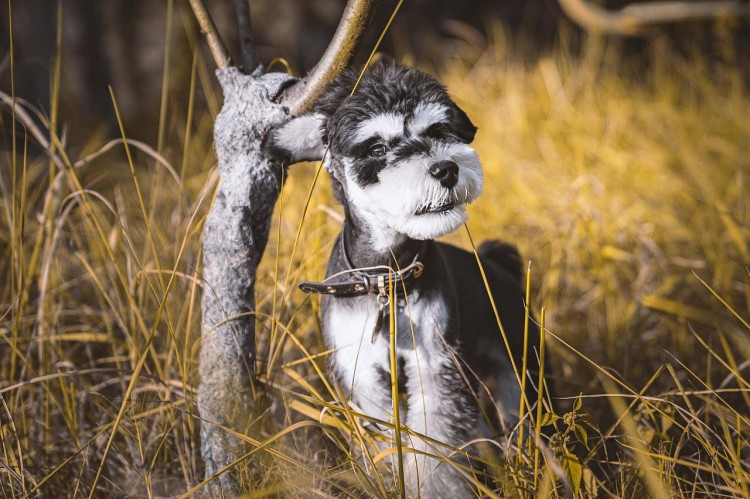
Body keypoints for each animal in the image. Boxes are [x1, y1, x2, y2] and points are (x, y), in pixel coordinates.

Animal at [264, 62, 548, 499]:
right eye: (376, 149)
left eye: (440, 130)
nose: (446, 169)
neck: (387, 276)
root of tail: (499, 266)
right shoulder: (363, 375)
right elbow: (386, 443)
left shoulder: (435, 367)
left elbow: (438, 449)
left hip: (520, 375)